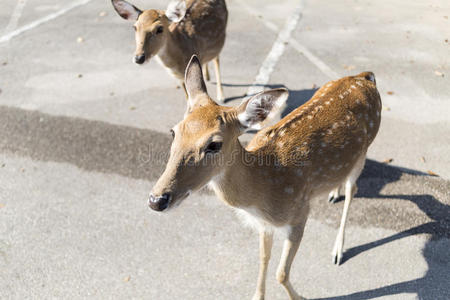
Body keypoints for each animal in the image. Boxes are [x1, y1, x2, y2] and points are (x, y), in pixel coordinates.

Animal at [149, 55, 382, 300]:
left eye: (214, 144)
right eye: (174, 131)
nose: (157, 200)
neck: (264, 187)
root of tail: (364, 77)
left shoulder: (300, 213)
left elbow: (281, 273)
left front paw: (300, 297)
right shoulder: (264, 224)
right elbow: (263, 258)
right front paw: (257, 295)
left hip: (365, 149)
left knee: (352, 190)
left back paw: (338, 250)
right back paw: (333, 193)